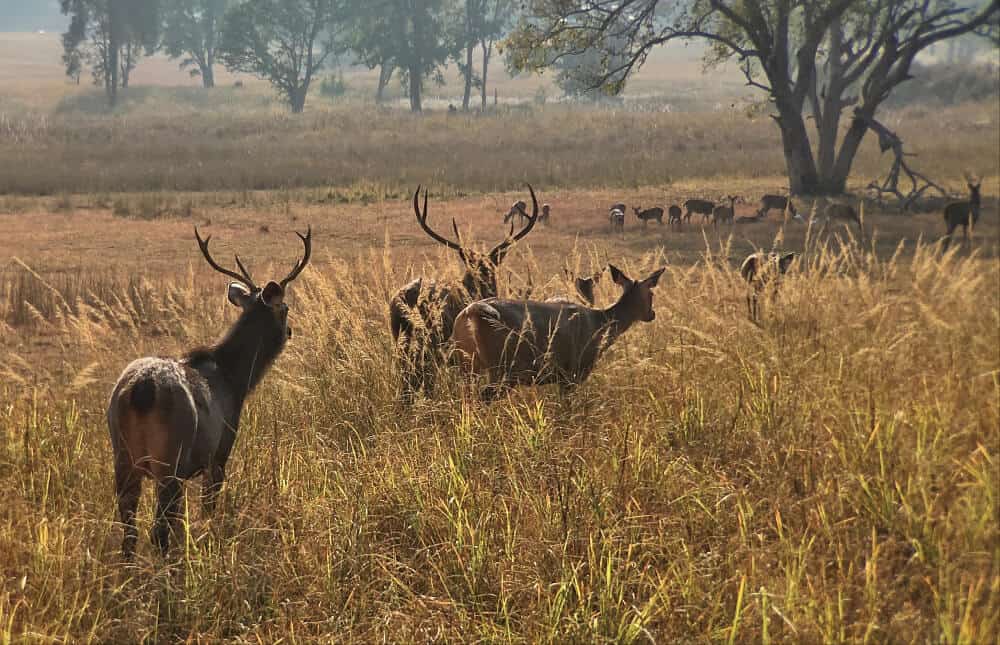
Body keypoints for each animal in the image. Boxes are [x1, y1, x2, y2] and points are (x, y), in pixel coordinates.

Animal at [107, 224, 310, 556]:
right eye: (286, 307)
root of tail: (142, 391)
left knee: (130, 532)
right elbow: (209, 508)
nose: (290, 332)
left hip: (122, 454)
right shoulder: (220, 450)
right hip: (171, 457)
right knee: (158, 530)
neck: (236, 380)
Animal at [390, 184, 540, 400]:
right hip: (432, 341)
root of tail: (405, 300)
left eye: (491, 267)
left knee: (408, 380)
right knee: (422, 379)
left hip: (402, 339)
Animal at [454, 262, 664, 398]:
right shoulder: (574, 371)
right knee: (484, 396)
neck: (600, 325)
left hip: (467, 362)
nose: (652, 314)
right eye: (651, 294)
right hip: (503, 366)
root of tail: (472, 312)